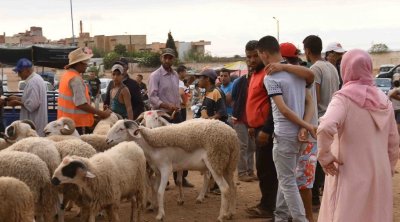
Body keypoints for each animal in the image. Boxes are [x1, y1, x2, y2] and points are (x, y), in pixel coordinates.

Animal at [104, 119, 239, 221]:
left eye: (121, 129)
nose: (107, 140)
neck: (149, 146)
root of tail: (231, 136)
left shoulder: (165, 169)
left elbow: (160, 191)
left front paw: (160, 215)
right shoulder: (157, 171)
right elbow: (154, 189)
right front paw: (153, 206)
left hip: (215, 161)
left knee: (224, 188)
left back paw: (221, 216)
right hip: (227, 165)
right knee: (232, 187)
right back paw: (230, 213)